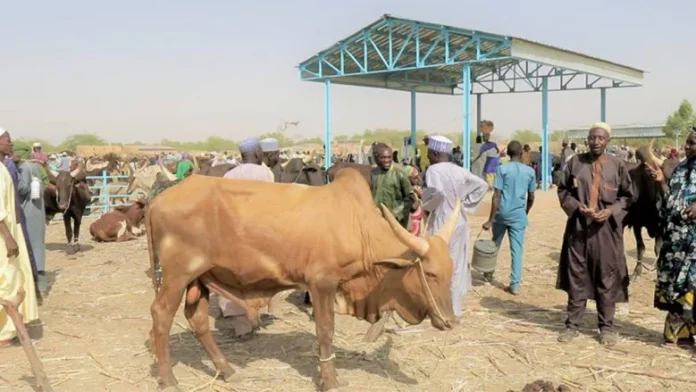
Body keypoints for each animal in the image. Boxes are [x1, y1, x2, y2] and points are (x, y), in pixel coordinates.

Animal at [146, 169, 460, 392]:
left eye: (451, 271)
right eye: (431, 274)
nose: (450, 321)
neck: (358, 226)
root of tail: (157, 201)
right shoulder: (322, 283)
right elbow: (325, 331)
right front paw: (330, 381)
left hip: (199, 279)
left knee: (197, 319)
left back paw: (227, 370)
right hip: (177, 275)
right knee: (161, 315)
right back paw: (169, 380)